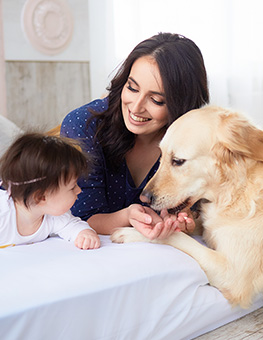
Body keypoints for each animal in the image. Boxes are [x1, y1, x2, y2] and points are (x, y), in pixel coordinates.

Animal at [111, 105, 263, 308]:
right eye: (161, 156)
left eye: (177, 161)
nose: (144, 198)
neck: (234, 190)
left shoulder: (232, 274)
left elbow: (174, 236)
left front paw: (130, 232)